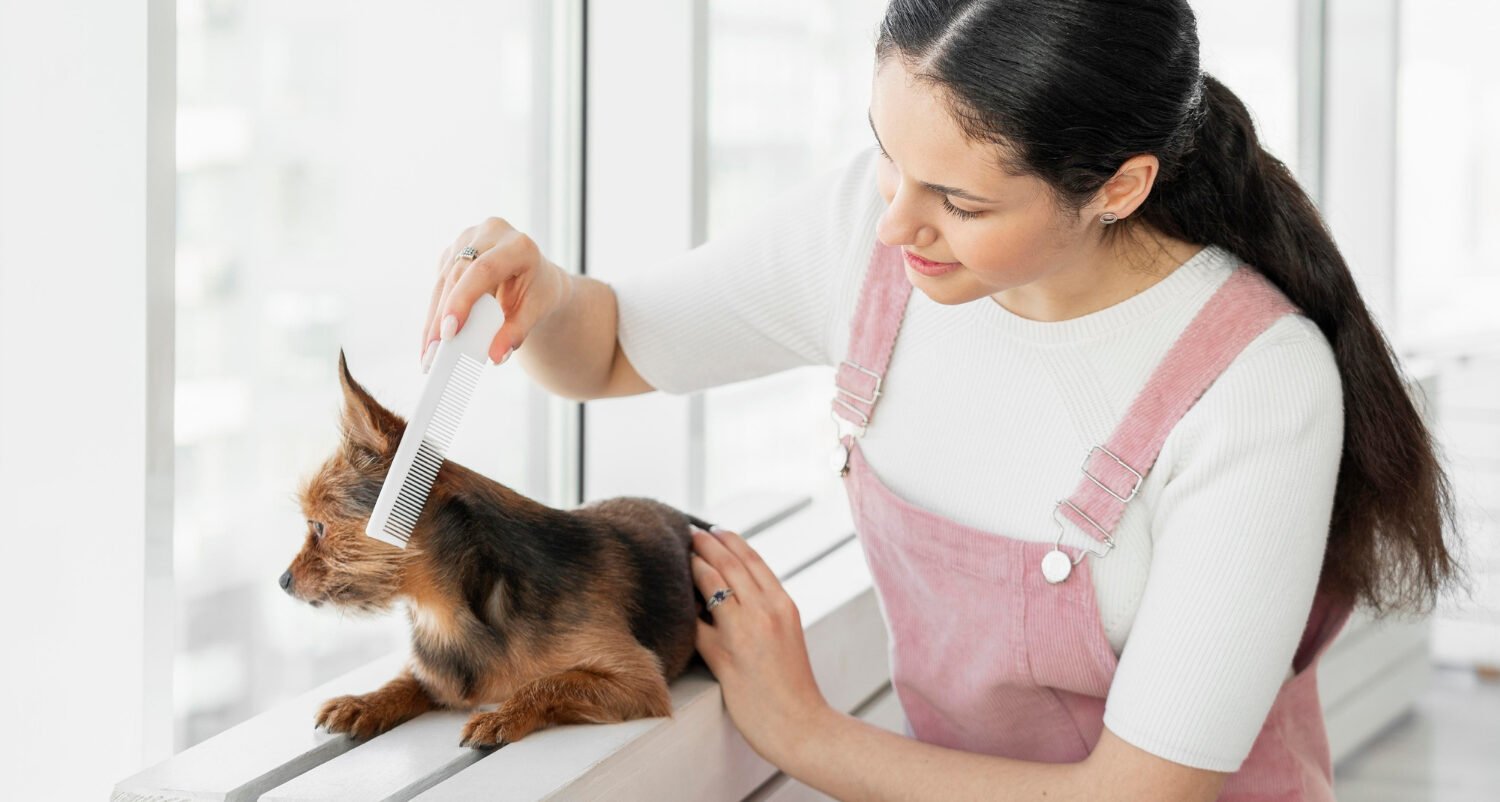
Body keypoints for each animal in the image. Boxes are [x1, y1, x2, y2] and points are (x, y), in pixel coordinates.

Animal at [282, 355, 714, 749]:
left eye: (318, 527)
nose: (283, 581)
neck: (446, 614)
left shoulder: (638, 681)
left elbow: (549, 682)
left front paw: (503, 715)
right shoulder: (436, 677)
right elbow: (404, 681)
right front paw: (364, 702)